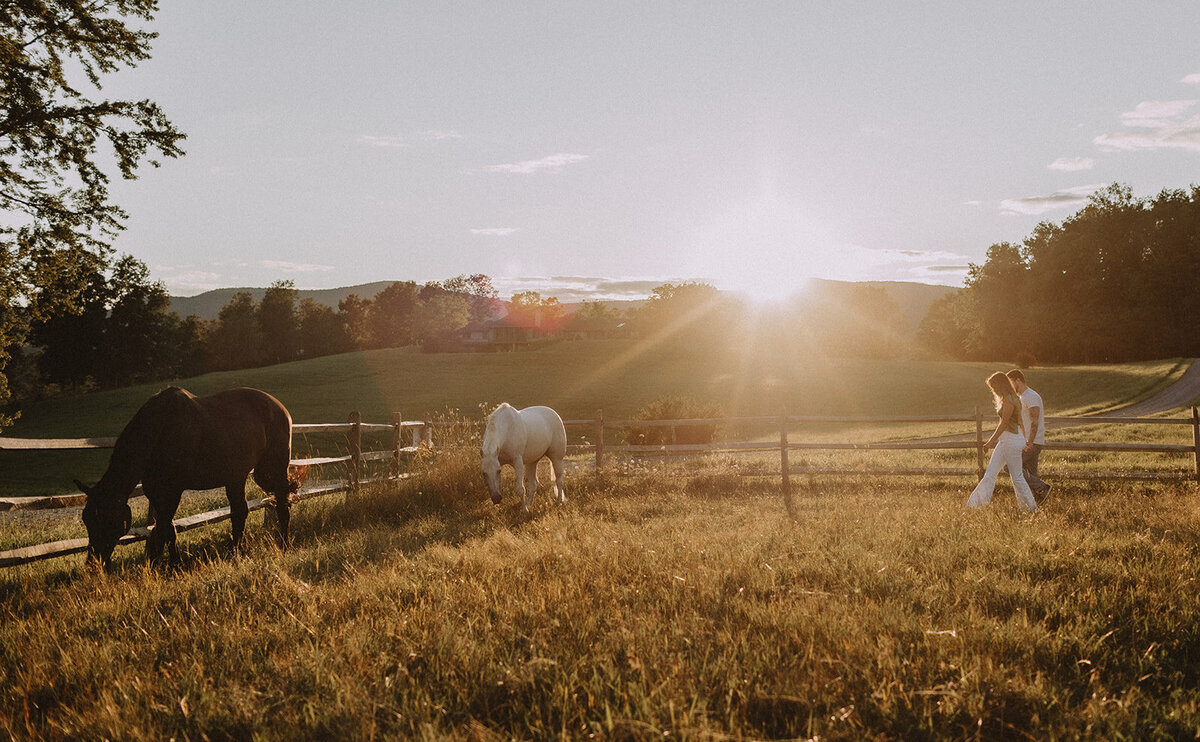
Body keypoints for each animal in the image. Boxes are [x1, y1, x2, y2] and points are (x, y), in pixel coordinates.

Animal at [74, 386, 300, 566]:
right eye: (87, 520)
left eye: (106, 520)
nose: (93, 563)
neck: (160, 431)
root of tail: (280, 408)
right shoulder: (156, 493)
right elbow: (168, 529)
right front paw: (171, 565)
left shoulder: (172, 492)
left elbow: (162, 530)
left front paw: (158, 568)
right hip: (236, 477)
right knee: (240, 512)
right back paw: (236, 552)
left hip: (275, 469)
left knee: (281, 504)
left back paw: (284, 545)